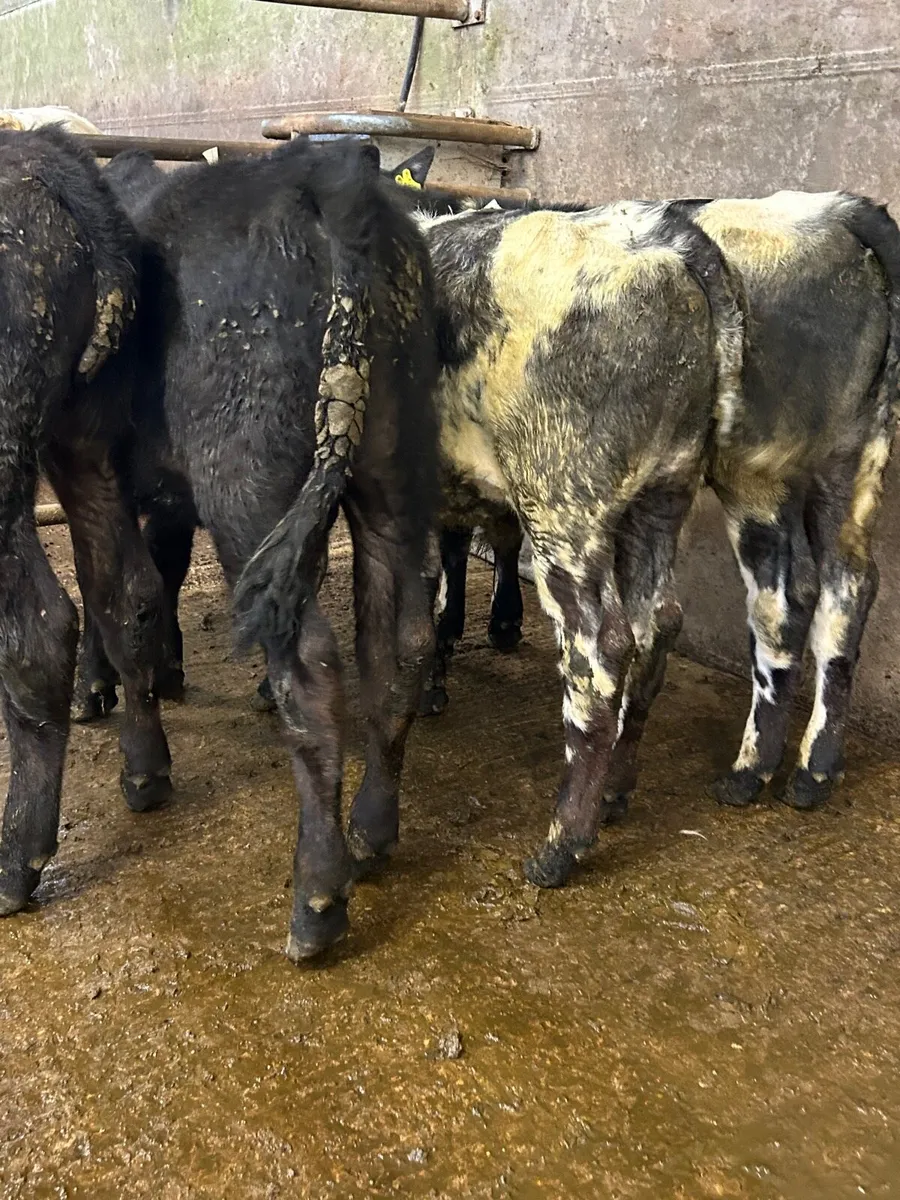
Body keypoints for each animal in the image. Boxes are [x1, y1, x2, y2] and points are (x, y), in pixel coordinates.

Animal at [80, 137, 440, 958]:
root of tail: (325, 175)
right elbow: (156, 579)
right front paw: (165, 671)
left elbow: (111, 593)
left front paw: (130, 745)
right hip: (394, 473)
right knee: (401, 640)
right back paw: (372, 830)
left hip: (244, 482)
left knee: (311, 665)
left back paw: (317, 896)